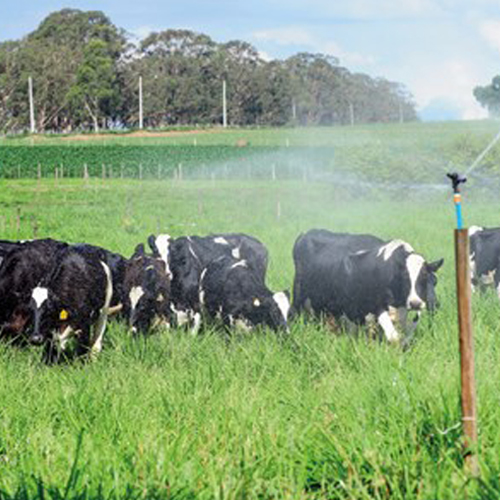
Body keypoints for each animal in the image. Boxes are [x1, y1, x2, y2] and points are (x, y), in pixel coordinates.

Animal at [292, 231, 444, 344]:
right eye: (405, 278)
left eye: (426, 278)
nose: (415, 303)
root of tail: (305, 234)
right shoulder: (376, 307)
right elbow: (393, 337)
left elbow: (404, 338)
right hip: (299, 294)